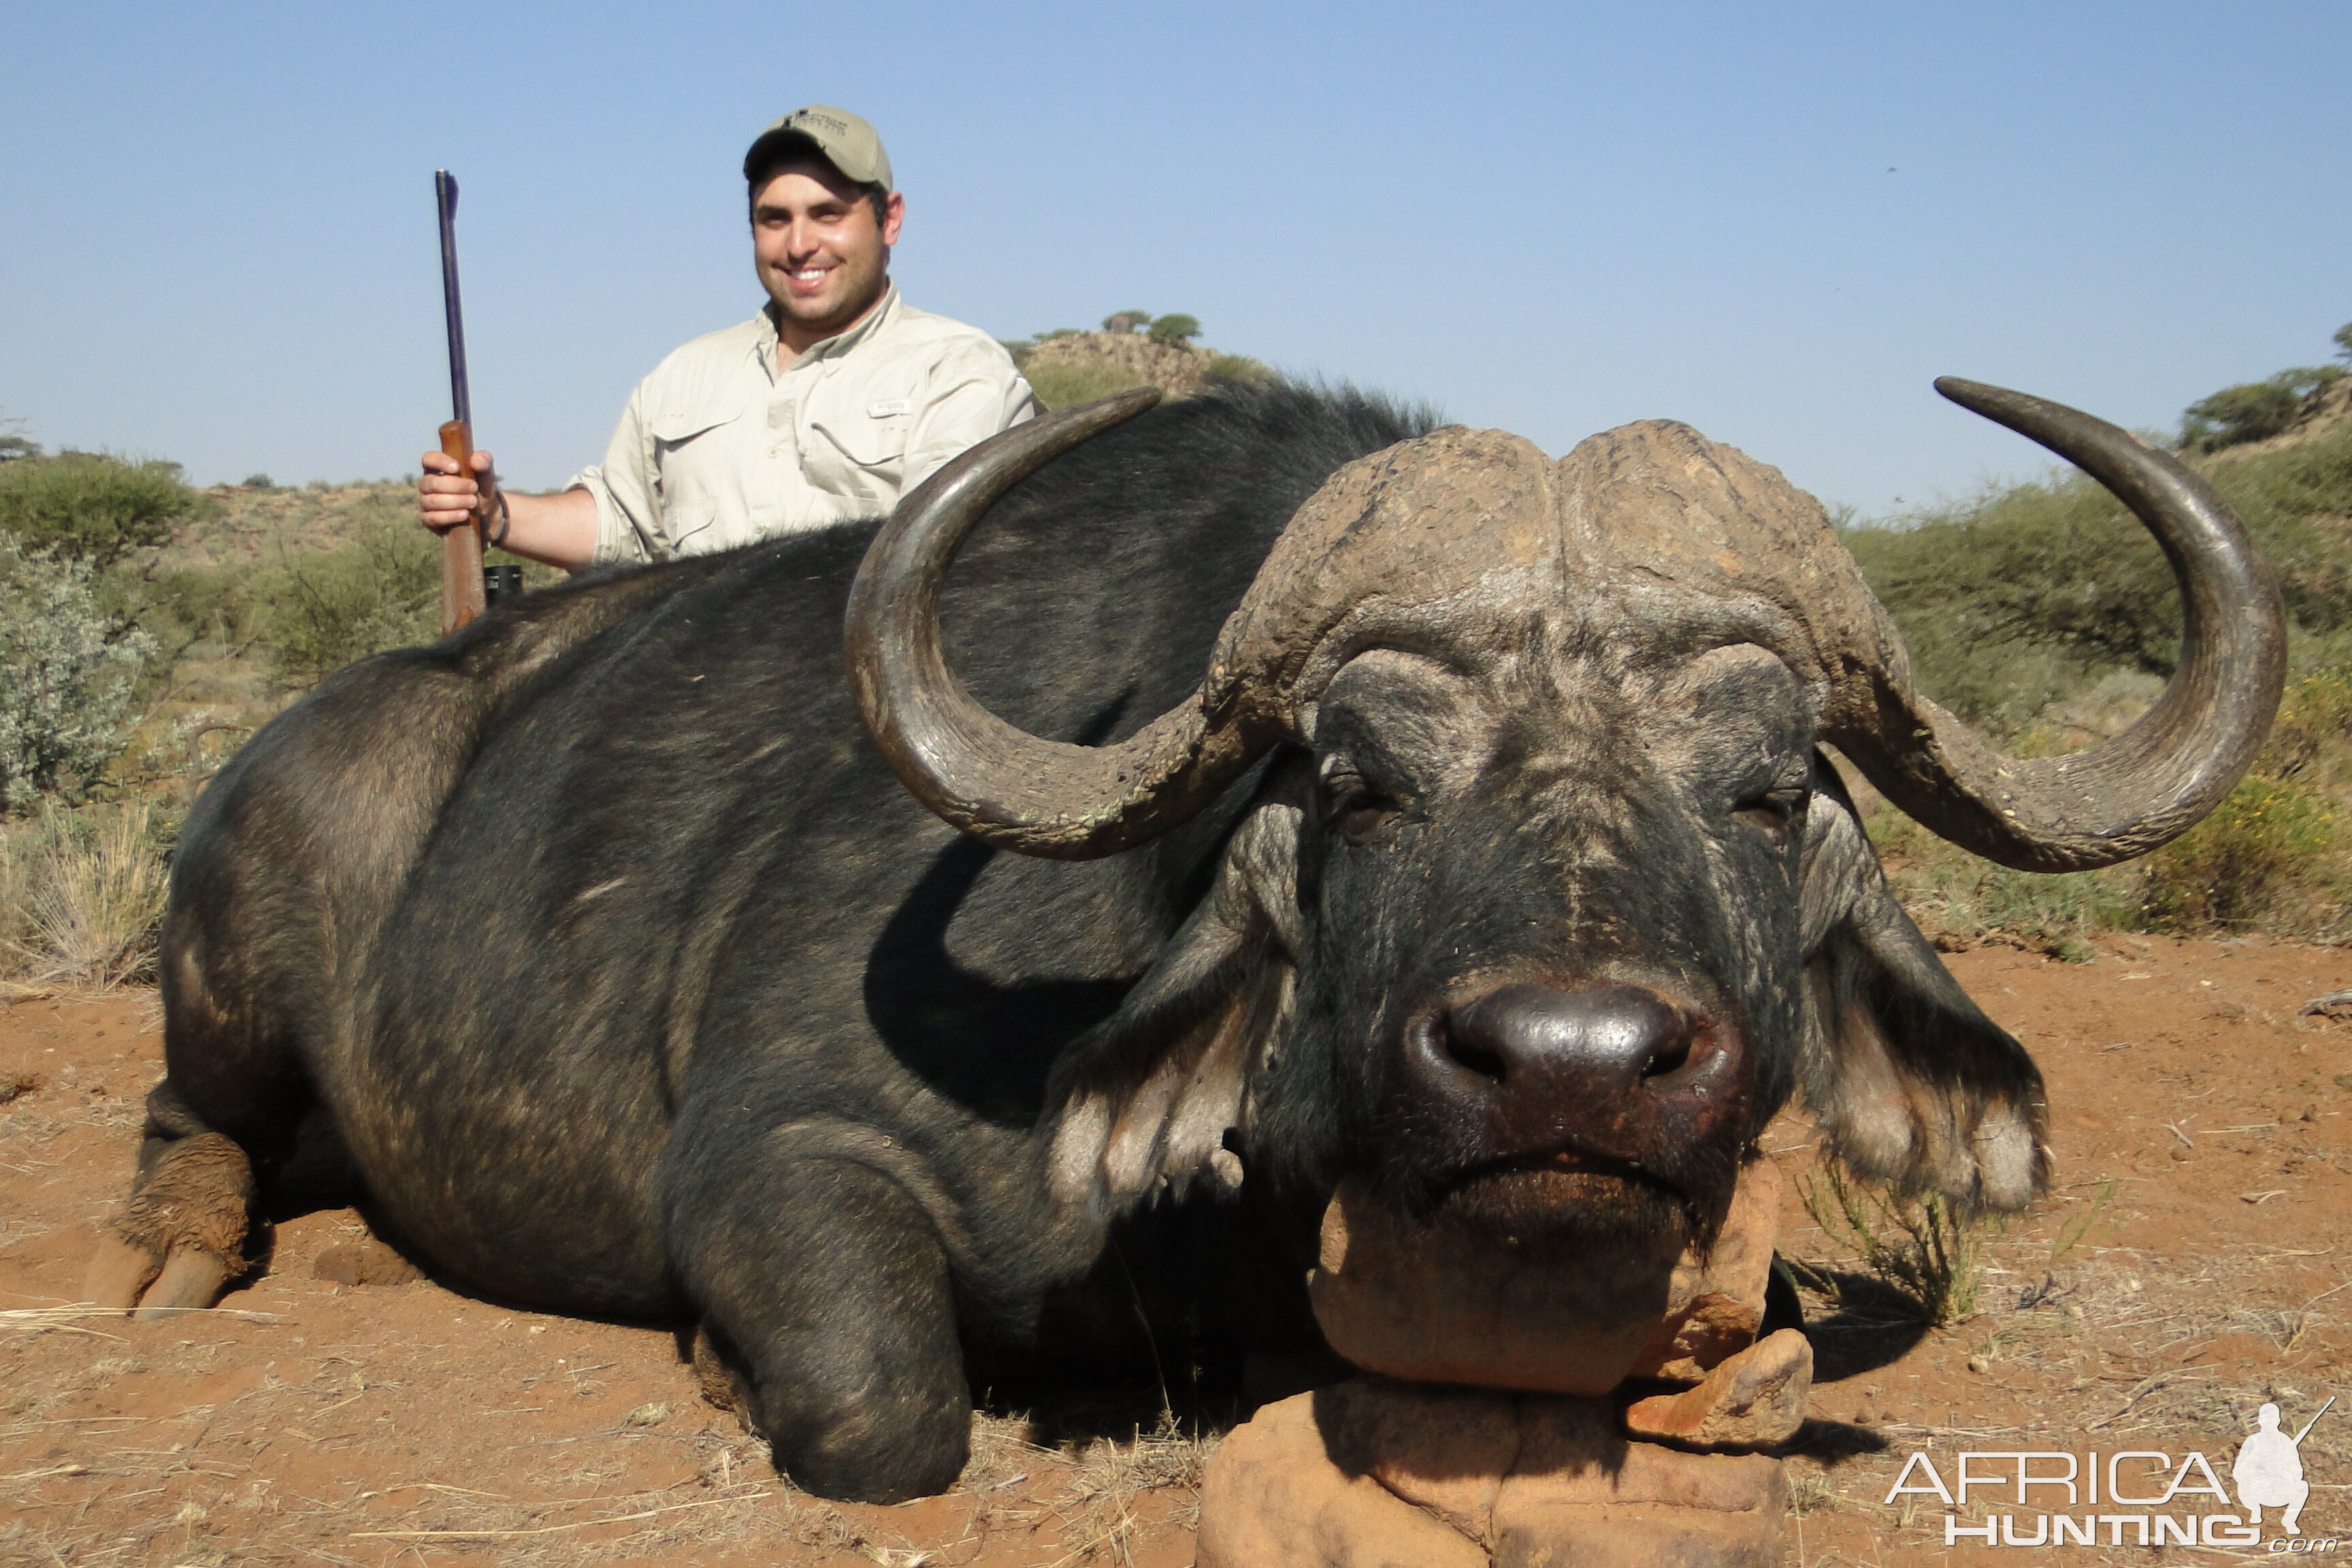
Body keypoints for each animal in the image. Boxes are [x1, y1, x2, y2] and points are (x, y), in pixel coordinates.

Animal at [86, 374, 2276, 1504]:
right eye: (1361, 778)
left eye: (1759, 786)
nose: (1570, 1072)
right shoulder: (775, 1158)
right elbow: (885, 1410)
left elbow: (1756, 1371)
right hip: (229, 976)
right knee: (189, 1124)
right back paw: (174, 1266)